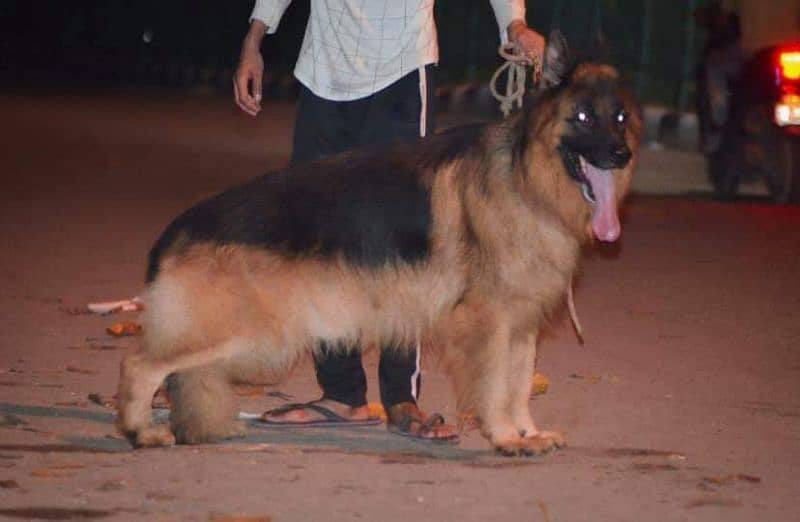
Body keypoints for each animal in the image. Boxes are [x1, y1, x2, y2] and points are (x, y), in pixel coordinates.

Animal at [117, 33, 644, 456]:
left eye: (619, 117)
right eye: (582, 116)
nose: (621, 154)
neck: (525, 177)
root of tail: (179, 227)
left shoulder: (521, 325)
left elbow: (517, 387)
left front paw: (525, 433)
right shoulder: (491, 324)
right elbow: (496, 386)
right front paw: (504, 437)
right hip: (247, 335)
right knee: (140, 364)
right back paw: (140, 430)